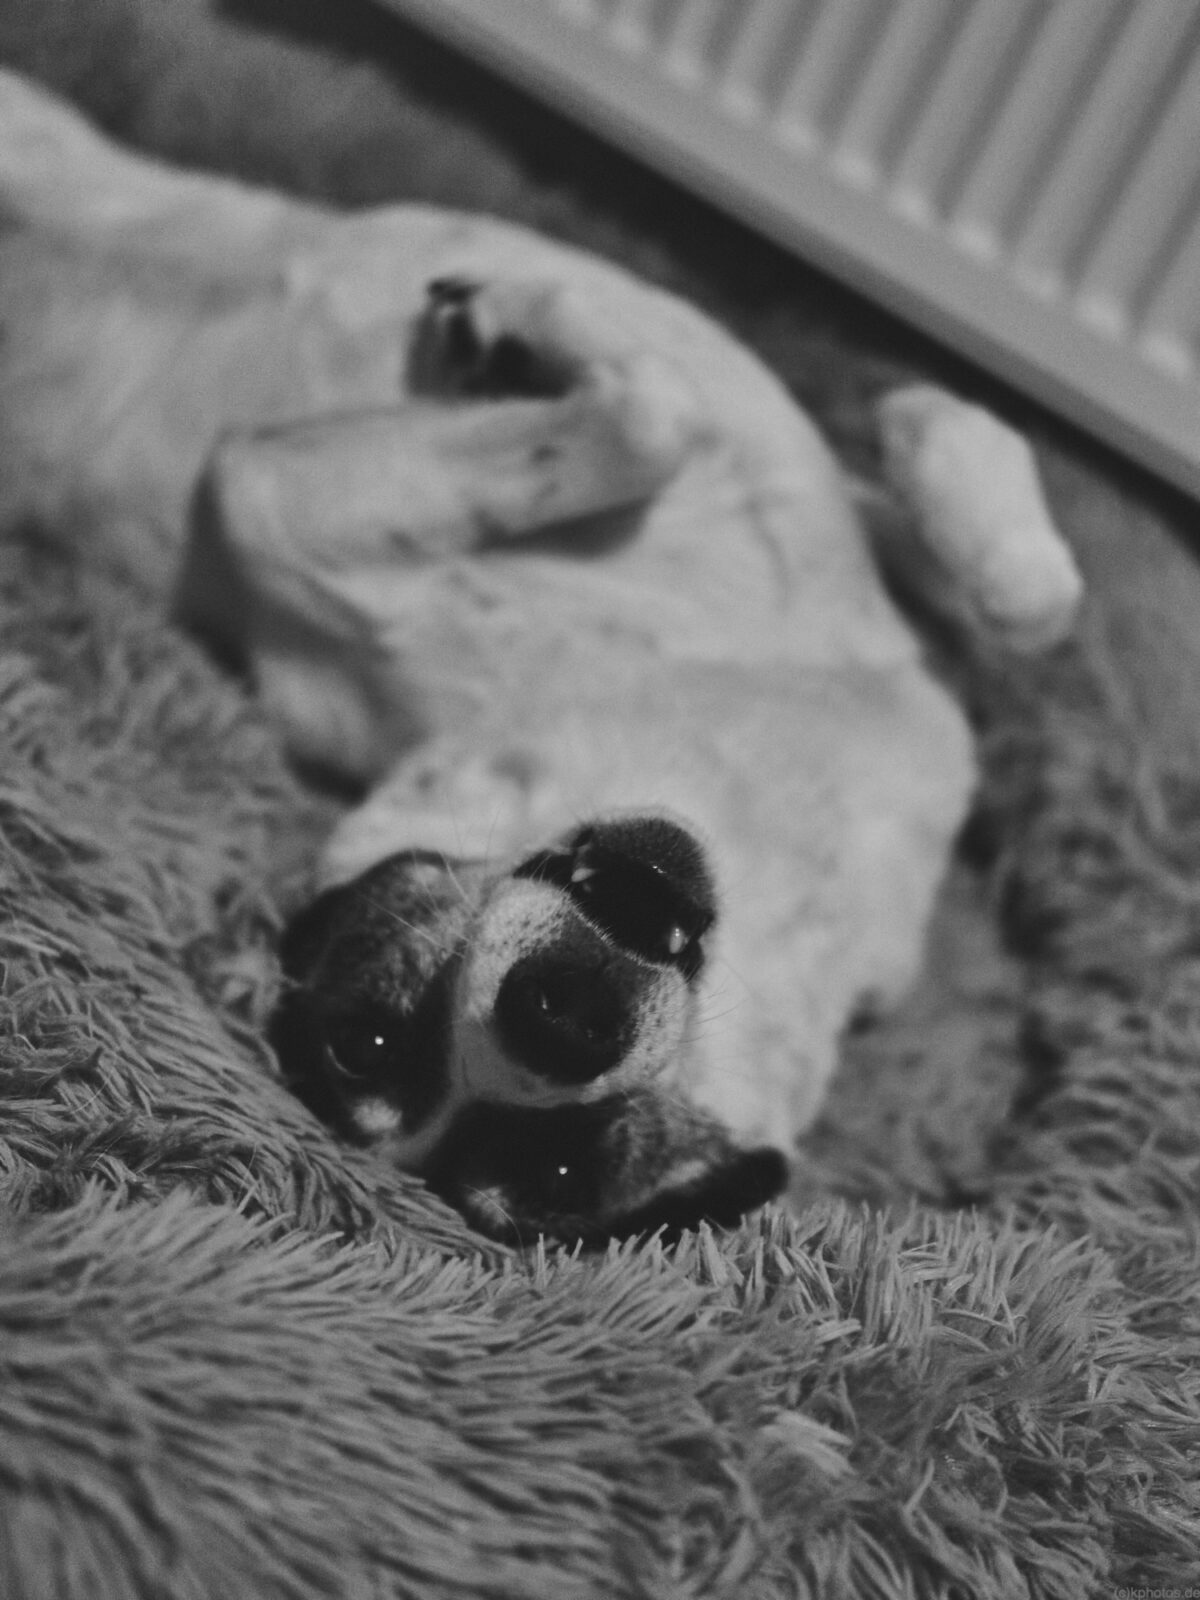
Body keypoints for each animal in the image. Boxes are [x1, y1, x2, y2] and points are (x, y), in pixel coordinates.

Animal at [0, 72, 1088, 1248]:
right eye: (370, 1041)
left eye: (562, 1171)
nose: (565, 1020)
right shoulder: (272, 489)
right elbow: (668, 419)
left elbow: (1025, 600)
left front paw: (937, 432)